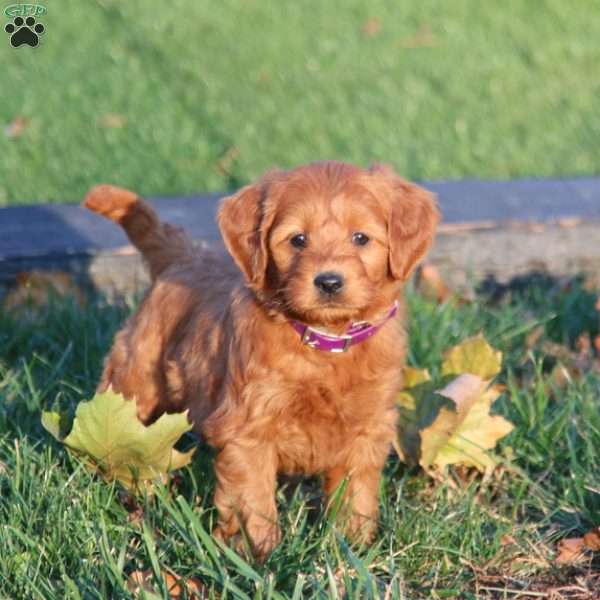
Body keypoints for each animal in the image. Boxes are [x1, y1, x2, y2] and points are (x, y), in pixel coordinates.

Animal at [84, 162, 438, 560]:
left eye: (360, 238)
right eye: (298, 240)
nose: (329, 282)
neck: (325, 343)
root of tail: (184, 254)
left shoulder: (368, 426)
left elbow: (354, 492)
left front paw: (353, 546)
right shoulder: (249, 429)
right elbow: (252, 499)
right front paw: (259, 555)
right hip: (135, 378)